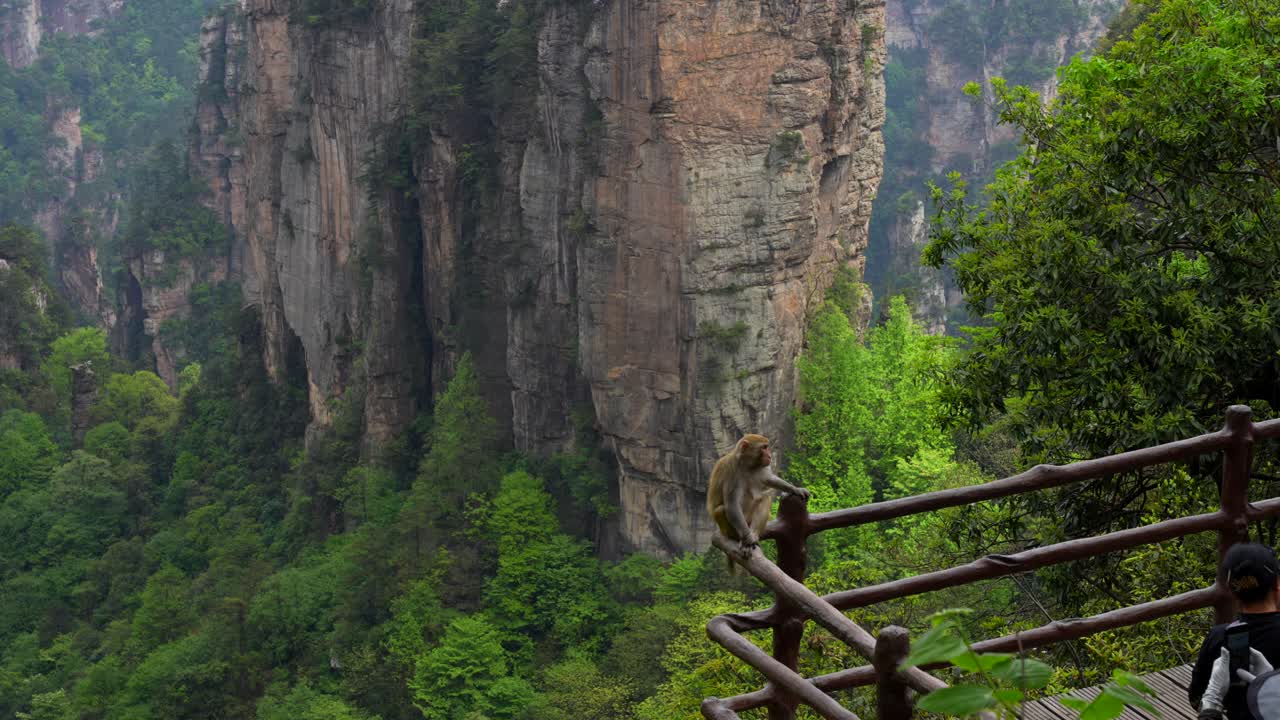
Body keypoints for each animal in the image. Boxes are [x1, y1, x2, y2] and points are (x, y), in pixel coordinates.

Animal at [706, 434, 810, 568]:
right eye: (764, 448)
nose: (770, 456)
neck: (747, 466)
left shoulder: (761, 467)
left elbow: (770, 479)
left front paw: (795, 489)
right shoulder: (731, 472)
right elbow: (732, 505)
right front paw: (747, 540)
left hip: (749, 520)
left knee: (765, 498)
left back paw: (754, 534)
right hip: (731, 526)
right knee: (721, 510)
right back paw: (737, 537)